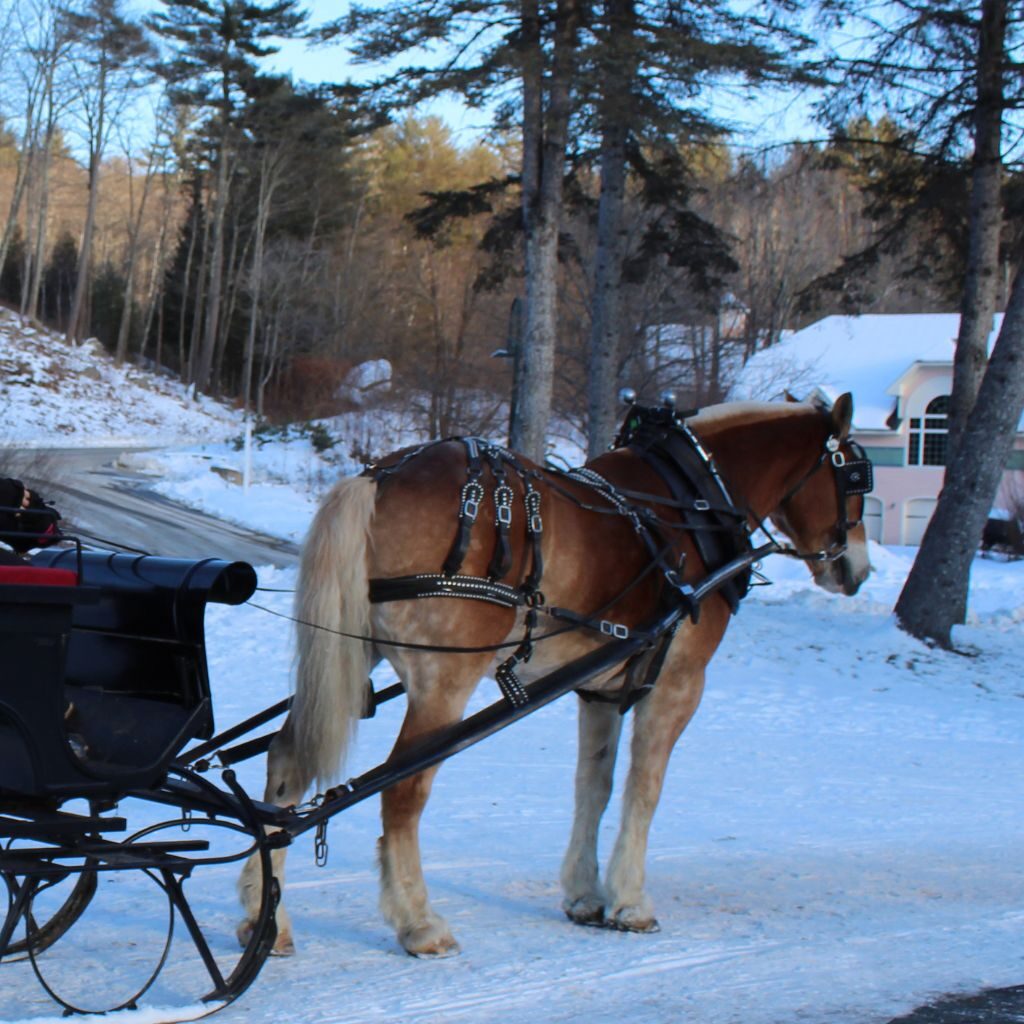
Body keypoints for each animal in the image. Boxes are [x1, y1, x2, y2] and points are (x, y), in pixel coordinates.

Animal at [237, 393, 872, 958]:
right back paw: (419, 923)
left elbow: (594, 786)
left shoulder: (598, 690)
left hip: (354, 656)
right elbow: (645, 788)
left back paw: (266, 916)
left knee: (287, 763)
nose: (856, 571)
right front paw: (631, 902)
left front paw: (586, 895)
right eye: (856, 479)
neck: (694, 504)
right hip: (443, 682)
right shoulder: (678, 683)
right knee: (401, 789)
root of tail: (381, 477)